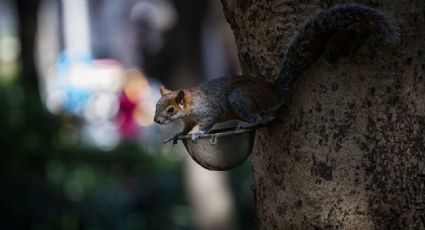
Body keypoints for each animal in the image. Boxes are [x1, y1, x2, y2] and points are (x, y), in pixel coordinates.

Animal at [154, 3, 400, 143]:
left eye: (171, 109)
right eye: (156, 106)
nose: (156, 121)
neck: (190, 107)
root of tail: (274, 91)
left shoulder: (208, 110)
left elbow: (206, 122)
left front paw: (196, 133)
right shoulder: (188, 119)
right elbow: (184, 127)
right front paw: (178, 134)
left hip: (240, 98)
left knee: (257, 117)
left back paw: (246, 124)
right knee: (269, 116)